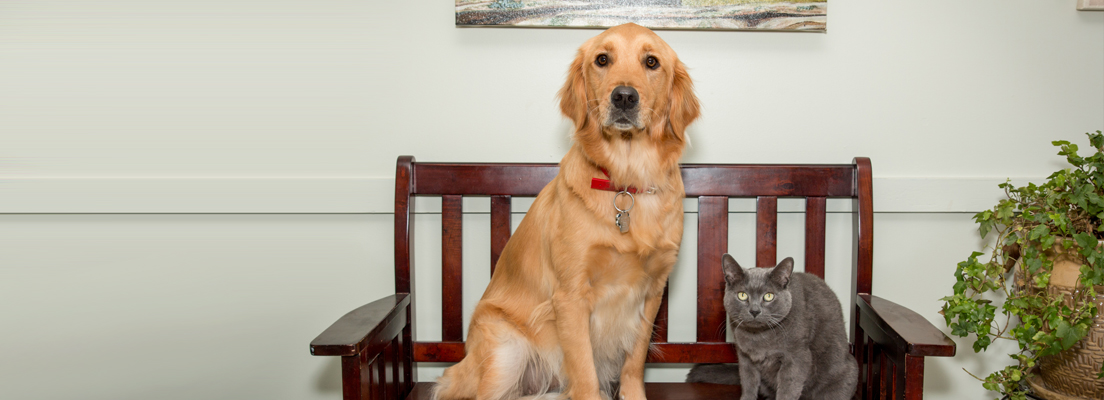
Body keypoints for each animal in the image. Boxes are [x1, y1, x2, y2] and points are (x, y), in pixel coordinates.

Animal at [430, 22, 697, 400]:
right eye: (602, 59)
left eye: (651, 62)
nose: (624, 97)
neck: (626, 182)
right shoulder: (571, 296)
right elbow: (585, 374)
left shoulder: (652, 292)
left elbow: (633, 365)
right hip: (504, 352)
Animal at [684, 254, 856, 397]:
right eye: (742, 295)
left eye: (768, 296)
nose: (754, 310)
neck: (758, 337)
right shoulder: (745, 356)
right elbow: (748, 383)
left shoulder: (797, 358)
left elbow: (788, 390)